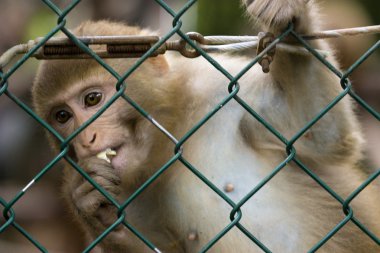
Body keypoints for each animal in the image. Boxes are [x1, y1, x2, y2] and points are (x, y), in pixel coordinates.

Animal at [31, 0, 378, 253]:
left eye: (92, 99)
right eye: (62, 116)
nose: (85, 138)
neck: (172, 136)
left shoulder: (221, 89)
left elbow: (322, 134)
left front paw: (289, 21)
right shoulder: (129, 193)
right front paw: (87, 200)